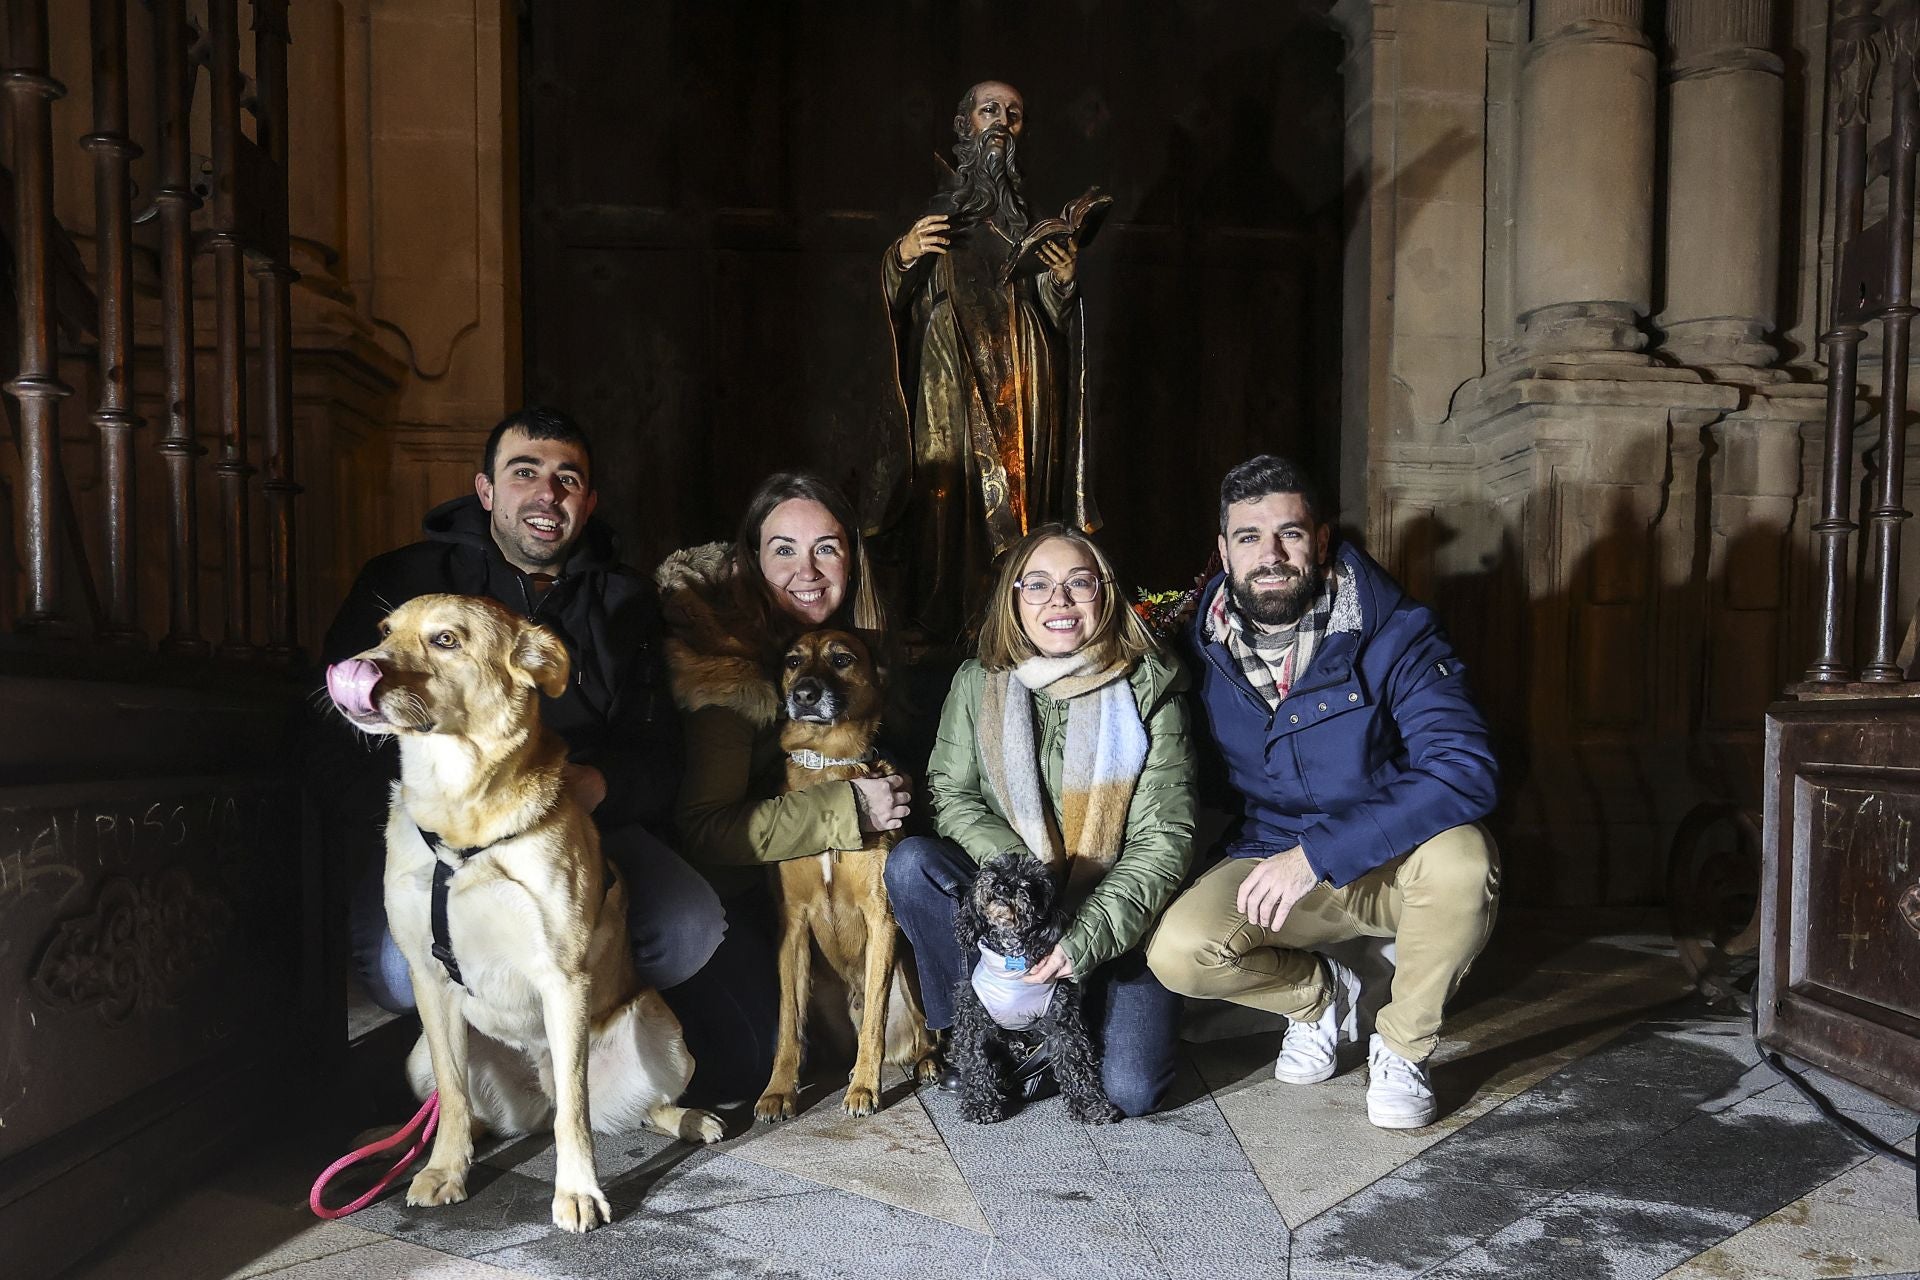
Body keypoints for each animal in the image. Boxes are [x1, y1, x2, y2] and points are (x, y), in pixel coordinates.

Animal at [326, 594, 721, 1235]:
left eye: (445, 640)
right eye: (383, 630)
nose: (354, 668)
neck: (461, 818)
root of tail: (535, 1102)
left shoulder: (564, 979)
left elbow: (576, 1116)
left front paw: (578, 1190)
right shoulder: (428, 977)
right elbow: (453, 1098)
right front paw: (444, 1171)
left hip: (662, 1031)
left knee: (624, 1108)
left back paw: (686, 1119)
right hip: (419, 1054)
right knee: (470, 1113)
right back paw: (408, 1147)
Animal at [756, 629, 936, 1120]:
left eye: (841, 659)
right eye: (793, 661)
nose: (803, 694)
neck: (831, 769)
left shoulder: (882, 918)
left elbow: (874, 1017)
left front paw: (864, 1089)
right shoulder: (792, 925)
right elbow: (786, 1025)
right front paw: (778, 1091)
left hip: (909, 965)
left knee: (921, 1026)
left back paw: (924, 1062)